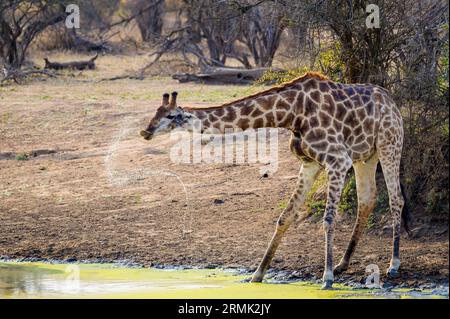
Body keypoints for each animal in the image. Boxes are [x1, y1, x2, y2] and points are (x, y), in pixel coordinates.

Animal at [142, 72, 410, 290]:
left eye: (172, 115)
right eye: (155, 113)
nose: (146, 131)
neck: (292, 113)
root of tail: (392, 102)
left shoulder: (337, 160)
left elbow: (328, 219)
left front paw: (327, 277)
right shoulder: (310, 163)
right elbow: (285, 216)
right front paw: (257, 275)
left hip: (389, 143)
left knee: (396, 199)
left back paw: (393, 264)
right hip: (365, 156)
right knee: (367, 199)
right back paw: (344, 263)